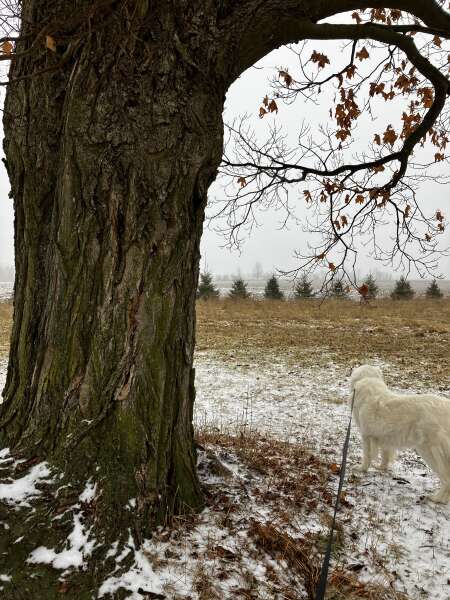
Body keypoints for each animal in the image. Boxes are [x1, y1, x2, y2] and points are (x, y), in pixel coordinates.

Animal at [352, 366, 450, 502]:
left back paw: (436, 498)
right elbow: (385, 456)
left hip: (430, 452)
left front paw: (361, 469)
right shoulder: (385, 438)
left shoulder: (366, 436)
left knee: (447, 479)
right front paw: (381, 468)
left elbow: (367, 456)